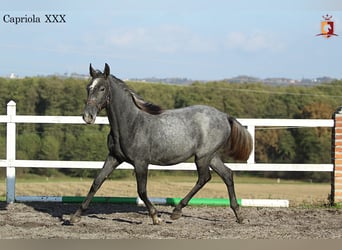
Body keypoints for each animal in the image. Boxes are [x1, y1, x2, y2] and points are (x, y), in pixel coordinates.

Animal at [69, 63, 251, 225]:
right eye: (88, 87)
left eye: (102, 89)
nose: (88, 117)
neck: (131, 123)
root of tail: (225, 116)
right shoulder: (114, 157)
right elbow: (97, 182)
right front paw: (75, 216)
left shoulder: (141, 163)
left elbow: (142, 191)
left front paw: (156, 217)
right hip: (211, 156)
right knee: (227, 174)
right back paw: (238, 215)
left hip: (203, 157)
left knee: (204, 178)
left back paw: (176, 211)